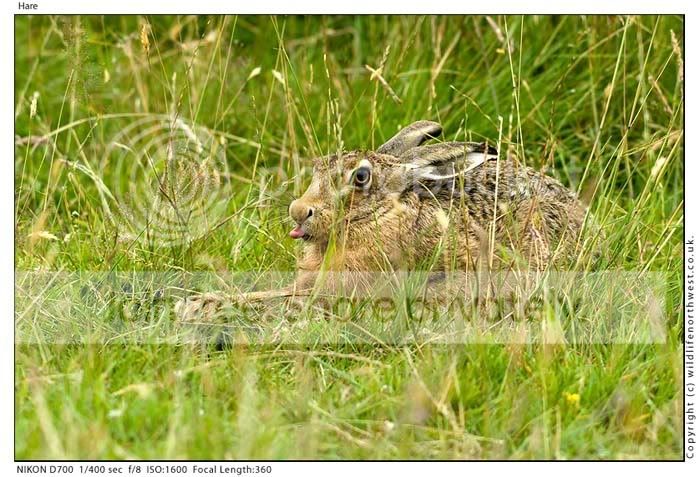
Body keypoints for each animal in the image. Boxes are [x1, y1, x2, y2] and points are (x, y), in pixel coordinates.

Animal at [176, 120, 591, 321]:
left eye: (360, 178)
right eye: (318, 167)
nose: (299, 211)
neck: (376, 216)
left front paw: (200, 307)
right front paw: (196, 302)